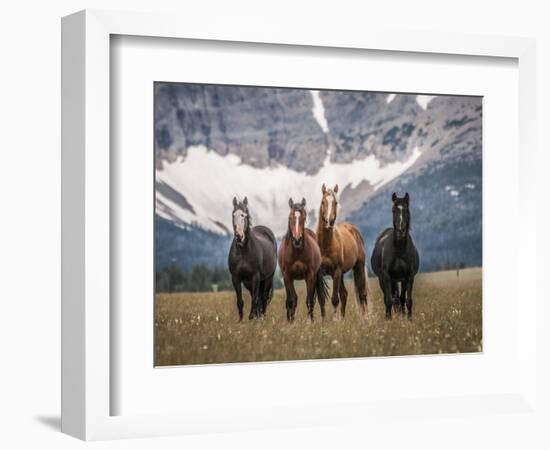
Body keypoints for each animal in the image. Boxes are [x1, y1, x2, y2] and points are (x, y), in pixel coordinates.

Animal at [316, 185, 368, 318]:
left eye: (335, 202)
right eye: (322, 202)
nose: (329, 222)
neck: (325, 245)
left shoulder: (336, 271)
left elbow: (334, 299)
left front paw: (335, 320)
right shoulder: (318, 273)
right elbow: (321, 299)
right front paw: (323, 321)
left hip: (358, 267)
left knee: (362, 294)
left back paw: (365, 318)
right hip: (342, 274)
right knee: (344, 294)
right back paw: (344, 318)